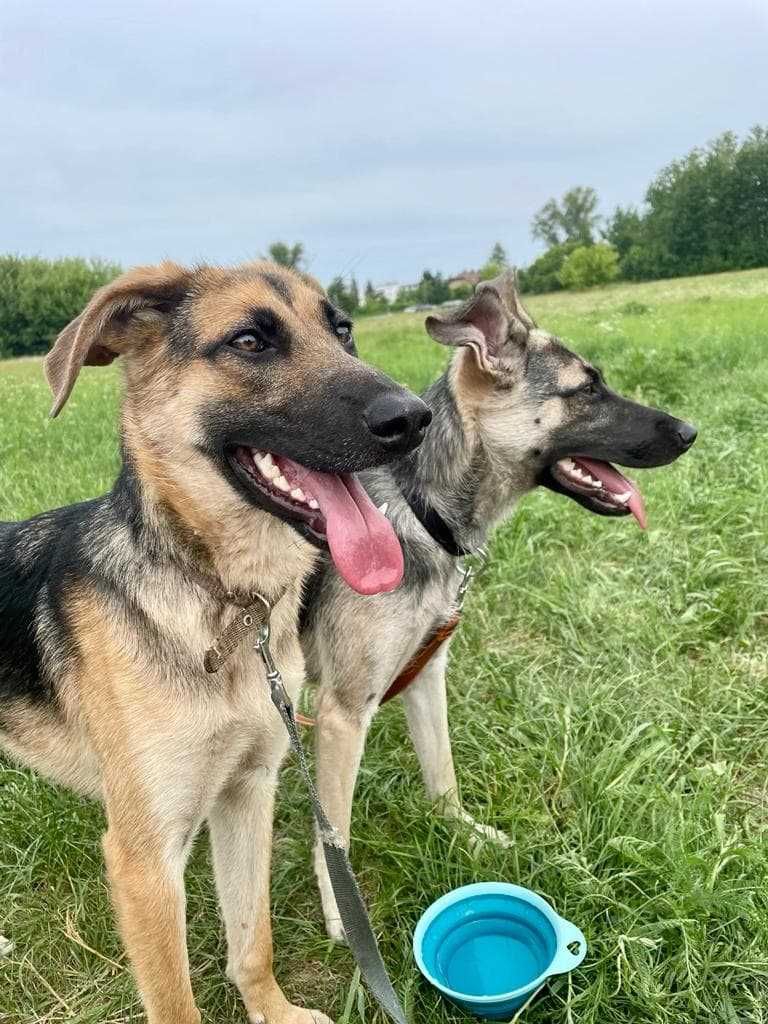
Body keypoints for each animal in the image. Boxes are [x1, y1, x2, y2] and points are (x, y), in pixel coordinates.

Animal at [0, 260, 434, 1024]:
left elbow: (251, 936)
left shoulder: (247, 791)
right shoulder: (146, 859)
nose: (413, 418)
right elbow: (176, 1002)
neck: (221, 599)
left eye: (344, 330)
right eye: (250, 341)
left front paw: (274, 1011)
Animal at [303, 270, 700, 937]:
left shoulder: (424, 675)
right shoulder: (343, 712)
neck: (417, 502)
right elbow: (336, 836)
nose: (691, 432)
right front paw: (341, 913)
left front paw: (461, 835)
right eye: (586, 388)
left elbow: (442, 775)